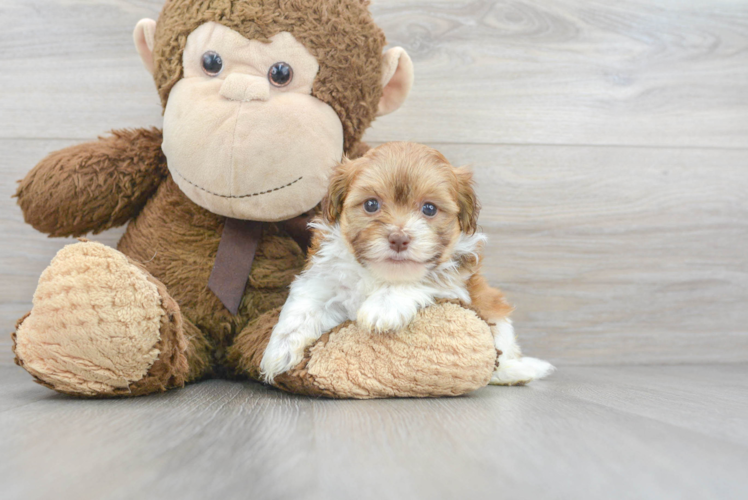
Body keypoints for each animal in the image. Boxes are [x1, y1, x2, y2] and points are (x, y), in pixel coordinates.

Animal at [260, 143, 552, 384]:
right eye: (371, 205)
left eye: (429, 209)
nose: (399, 238)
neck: (379, 274)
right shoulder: (324, 279)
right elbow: (304, 307)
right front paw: (279, 351)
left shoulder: (455, 277)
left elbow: (422, 278)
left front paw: (383, 307)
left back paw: (517, 370)